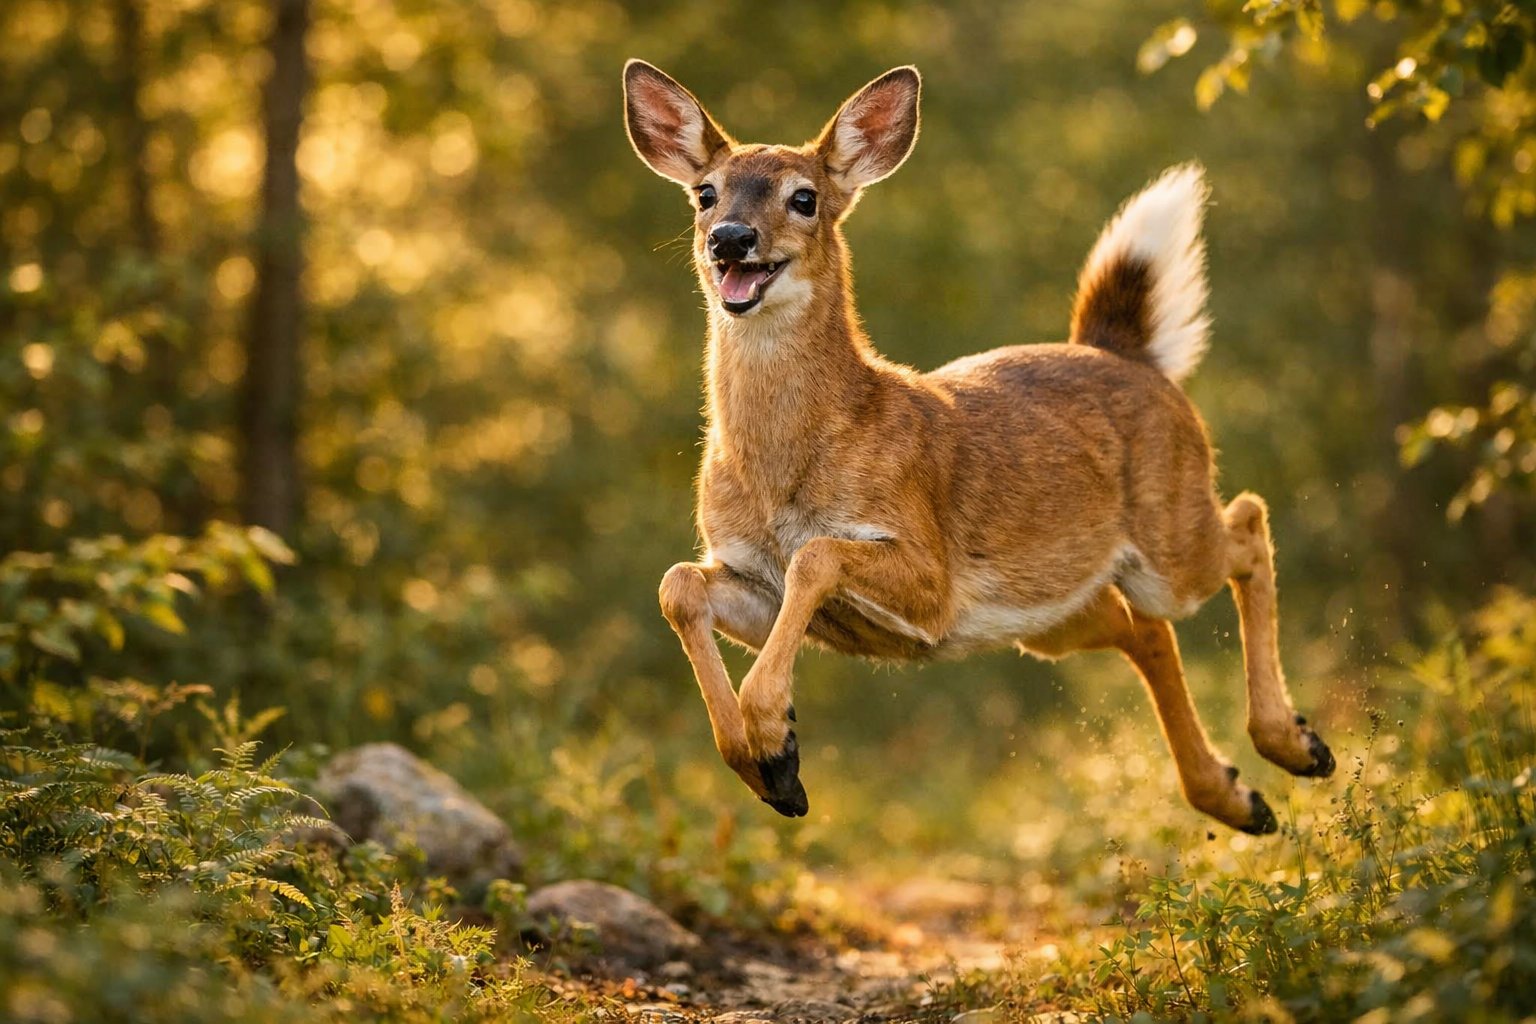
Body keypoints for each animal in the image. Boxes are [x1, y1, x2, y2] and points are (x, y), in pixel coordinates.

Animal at [624, 60, 1336, 835]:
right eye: (705, 192)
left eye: (804, 197)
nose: (730, 238)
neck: (786, 467)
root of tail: (1126, 352)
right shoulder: (755, 580)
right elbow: (677, 585)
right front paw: (772, 767)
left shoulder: (929, 576)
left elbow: (815, 556)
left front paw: (773, 735)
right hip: (1055, 608)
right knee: (1146, 631)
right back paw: (1240, 798)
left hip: (1169, 540)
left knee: (1247, 523)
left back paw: (1297, 746)